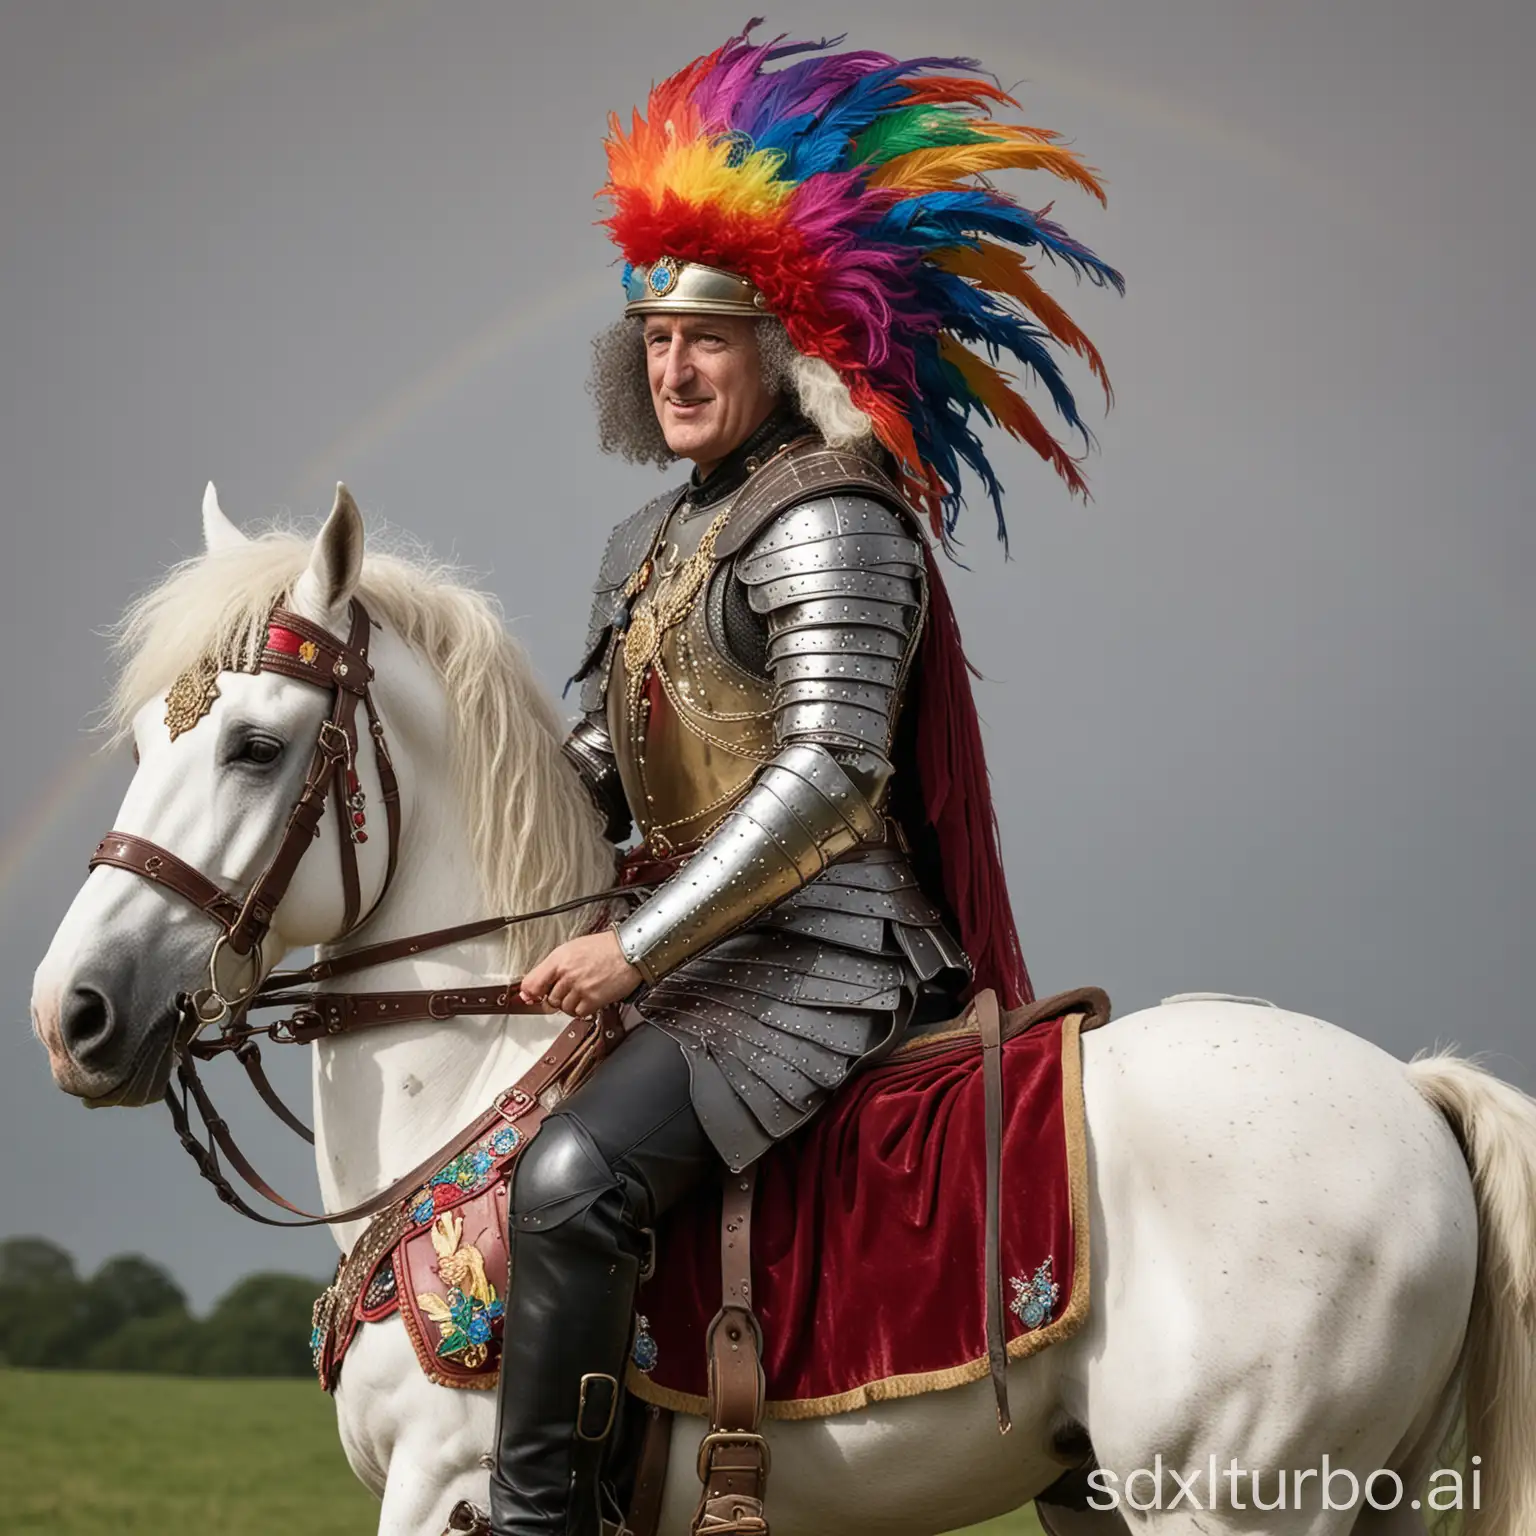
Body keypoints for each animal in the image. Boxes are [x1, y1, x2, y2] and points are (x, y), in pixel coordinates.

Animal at [27, 491, 1536, 1536]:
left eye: (256, 746)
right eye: (148, 742)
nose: (72, 1015)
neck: (471, 1081)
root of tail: (1411, 1089)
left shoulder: (448, 1486)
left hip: (1225, 1500)